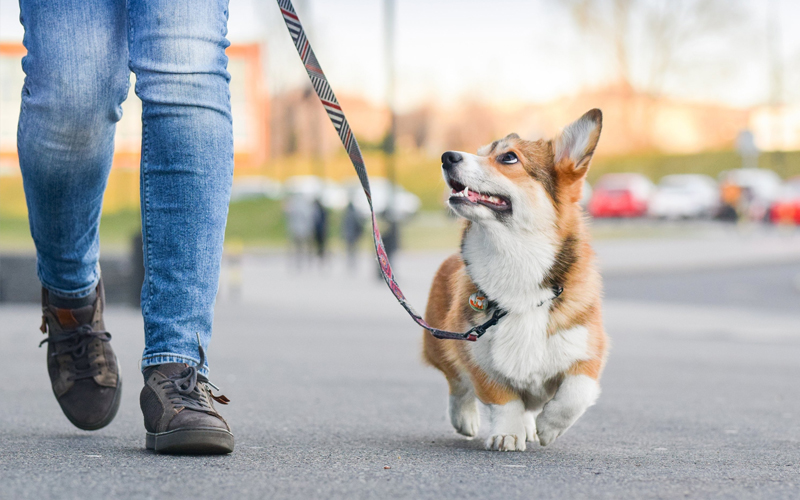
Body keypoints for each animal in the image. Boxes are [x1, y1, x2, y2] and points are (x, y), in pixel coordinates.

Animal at [424, 110, 608, 454]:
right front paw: (507, 434)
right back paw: (466, 419)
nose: (447, 156)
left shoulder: (588, 350)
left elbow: (575, 393)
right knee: (457, 384)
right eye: (480, 152)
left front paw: (549, 427)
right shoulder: (476, 353)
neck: (516, 259)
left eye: (508, 157)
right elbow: (503, 399)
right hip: (440, 343)